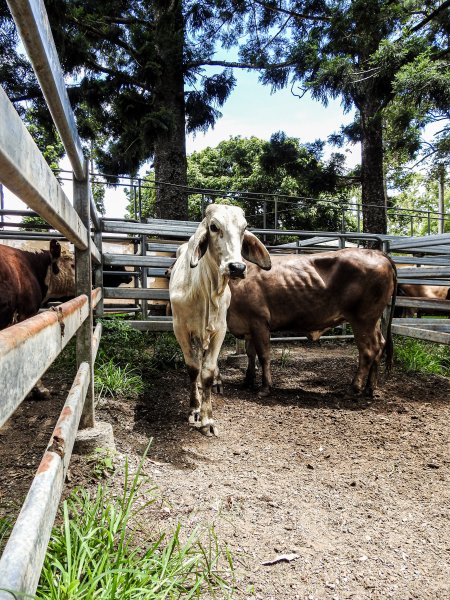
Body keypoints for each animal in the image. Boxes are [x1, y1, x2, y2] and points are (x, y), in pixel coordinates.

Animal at [170, 204, 270, 434]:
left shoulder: (219, 330)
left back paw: (216, 382)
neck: (205, 291)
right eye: (214, 227)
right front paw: (194, 408)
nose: (237, 267)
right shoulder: (180, 329)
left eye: (244, 228)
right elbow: (193, 368)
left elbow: (207, 370)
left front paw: (207, 419)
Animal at [229, 248, 398, 398]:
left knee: (368, 350)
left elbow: (263, 355)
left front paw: (265, 387)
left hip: (363, 320)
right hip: (373, 320)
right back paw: (370, 388)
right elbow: (251, 354)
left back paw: (354, 388)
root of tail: (376, 253)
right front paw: (247, 381)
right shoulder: (249, 325)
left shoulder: (259, 322)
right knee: (380, 345)